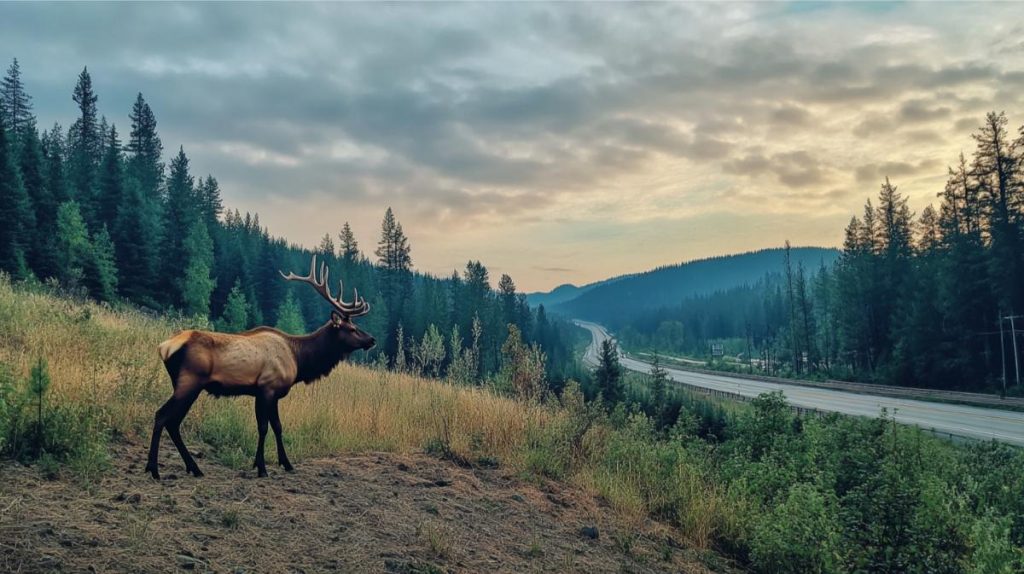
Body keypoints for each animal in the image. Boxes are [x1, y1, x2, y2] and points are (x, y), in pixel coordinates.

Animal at [148, 254, 376, 478]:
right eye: (352, 329)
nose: (372, 339)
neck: (299, 360)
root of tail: (164, 347)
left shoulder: (268, 393)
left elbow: (277, 427)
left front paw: (285, 463)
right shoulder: (267, 387)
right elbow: (264, 427)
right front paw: (262, 467)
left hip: (185, 385)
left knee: (173, 423)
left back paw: (193, 468)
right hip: (190, 382)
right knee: (162, 416)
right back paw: (154, 469)